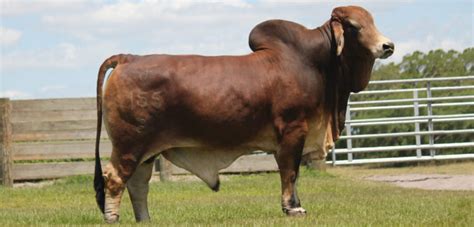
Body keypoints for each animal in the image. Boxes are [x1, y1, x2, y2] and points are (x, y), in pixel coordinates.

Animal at [92, 6, 392, 223]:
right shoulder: (294, 130)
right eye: (354, 26)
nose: (387, 46)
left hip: (146, 151)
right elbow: (290, 172)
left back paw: (145, 219)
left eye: (373, 21)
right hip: (130, 144)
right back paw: (113, 218)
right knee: (115, 178)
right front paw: (293, 208)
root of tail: (128, 57)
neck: (318, 64)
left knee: (138, 184)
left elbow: (291, 174)